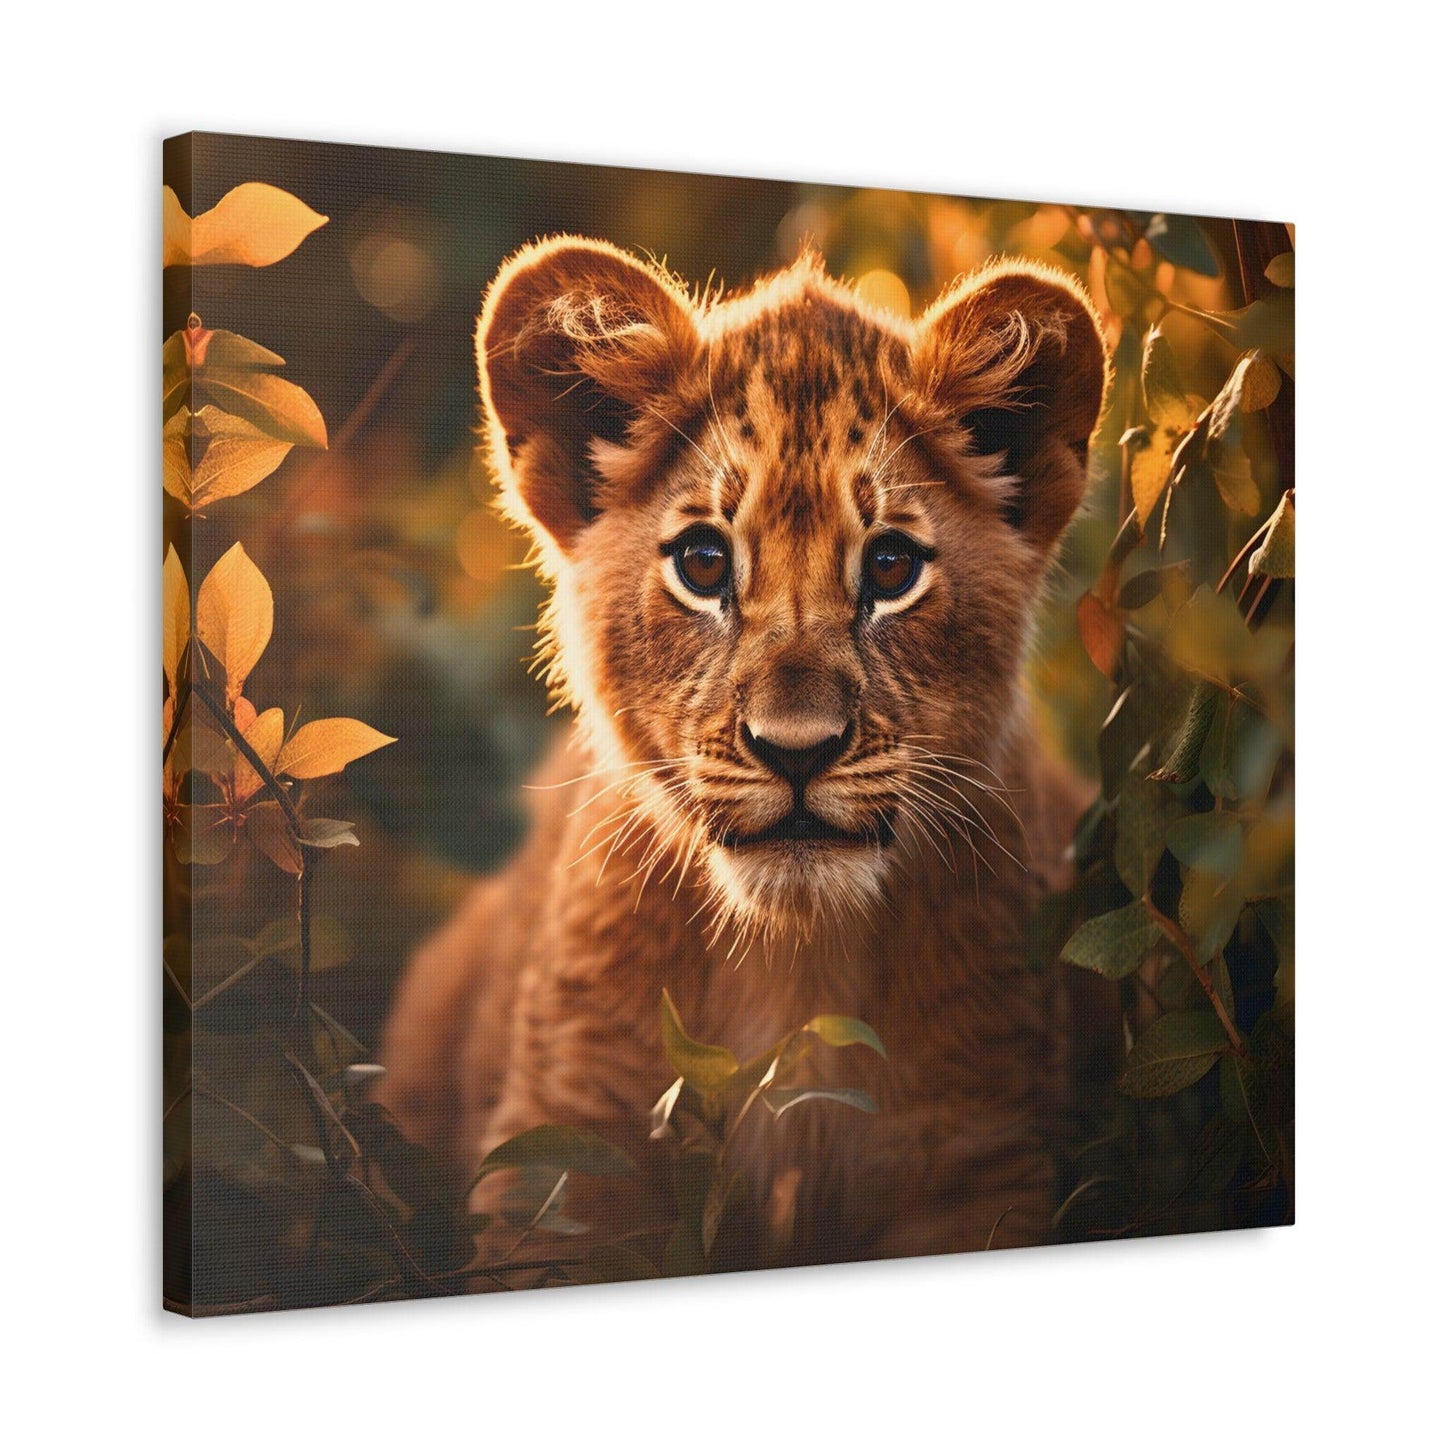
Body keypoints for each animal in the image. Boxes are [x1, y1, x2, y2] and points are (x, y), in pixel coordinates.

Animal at [377, 235, 1115, 1268]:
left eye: (890, 566)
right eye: (703, 563)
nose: (795, 751)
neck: (792, 963)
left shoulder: (978, 1161)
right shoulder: (563, 1158)